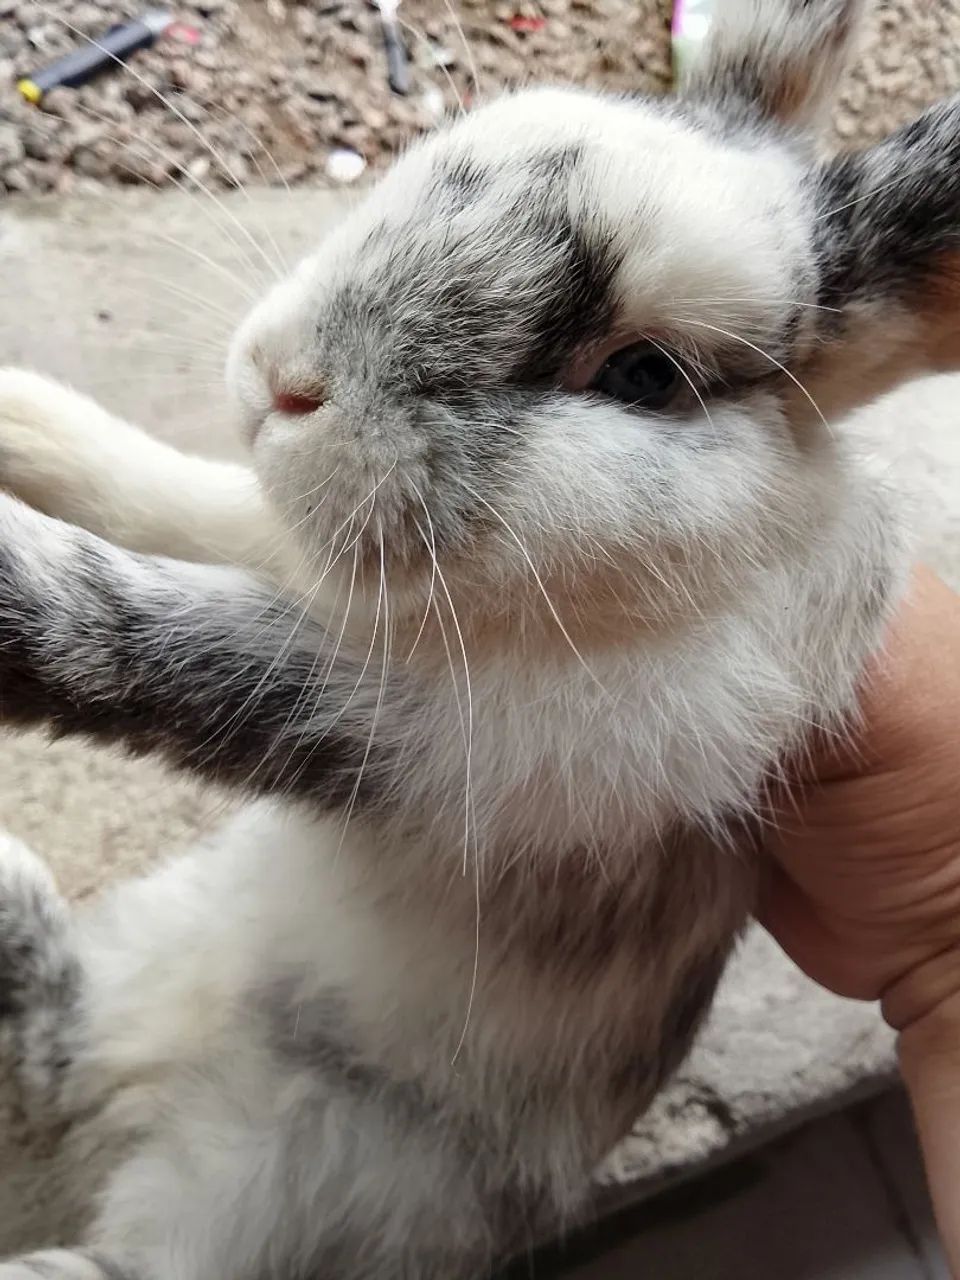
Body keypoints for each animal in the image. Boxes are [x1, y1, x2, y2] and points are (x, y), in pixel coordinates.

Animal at [0, 0, 954, 1274]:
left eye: (644, 375)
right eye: (456, 167)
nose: (286, 385)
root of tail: (141, 1090)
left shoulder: (458, 733)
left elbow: (158, 638)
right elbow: (184, 503)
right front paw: (24, 421)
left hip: (275, 1191)